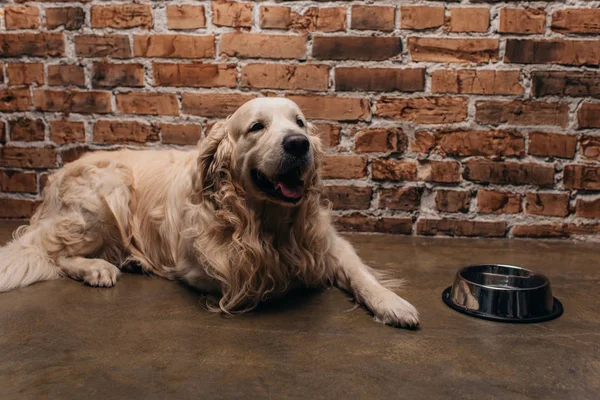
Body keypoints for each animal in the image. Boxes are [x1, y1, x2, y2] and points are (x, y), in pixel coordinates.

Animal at [0, 97, 420, 328]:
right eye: (256, 127)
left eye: (299, 122)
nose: (299, 144)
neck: (263, 218)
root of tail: (55, 180)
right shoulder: (202, 269)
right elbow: (270, 275)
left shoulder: (328, 243)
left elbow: (360, 273)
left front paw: (392, 303)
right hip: (107, 192)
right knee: (52, 253)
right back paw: (98, 268)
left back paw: (129, 259)